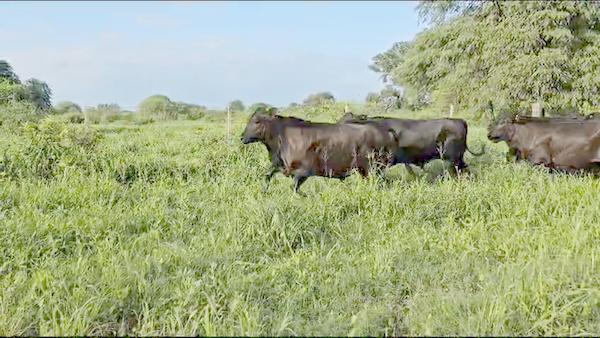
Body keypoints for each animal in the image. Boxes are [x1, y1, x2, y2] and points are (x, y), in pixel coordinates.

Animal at [241, 108, 400, 193]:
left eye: (256, 121)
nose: (242, 137)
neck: (283, 136)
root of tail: (384, 129)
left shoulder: (304, 172)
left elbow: (294, 188)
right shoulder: (282, 167)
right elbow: (268, 175)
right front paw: (264, 191)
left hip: (372, 169)